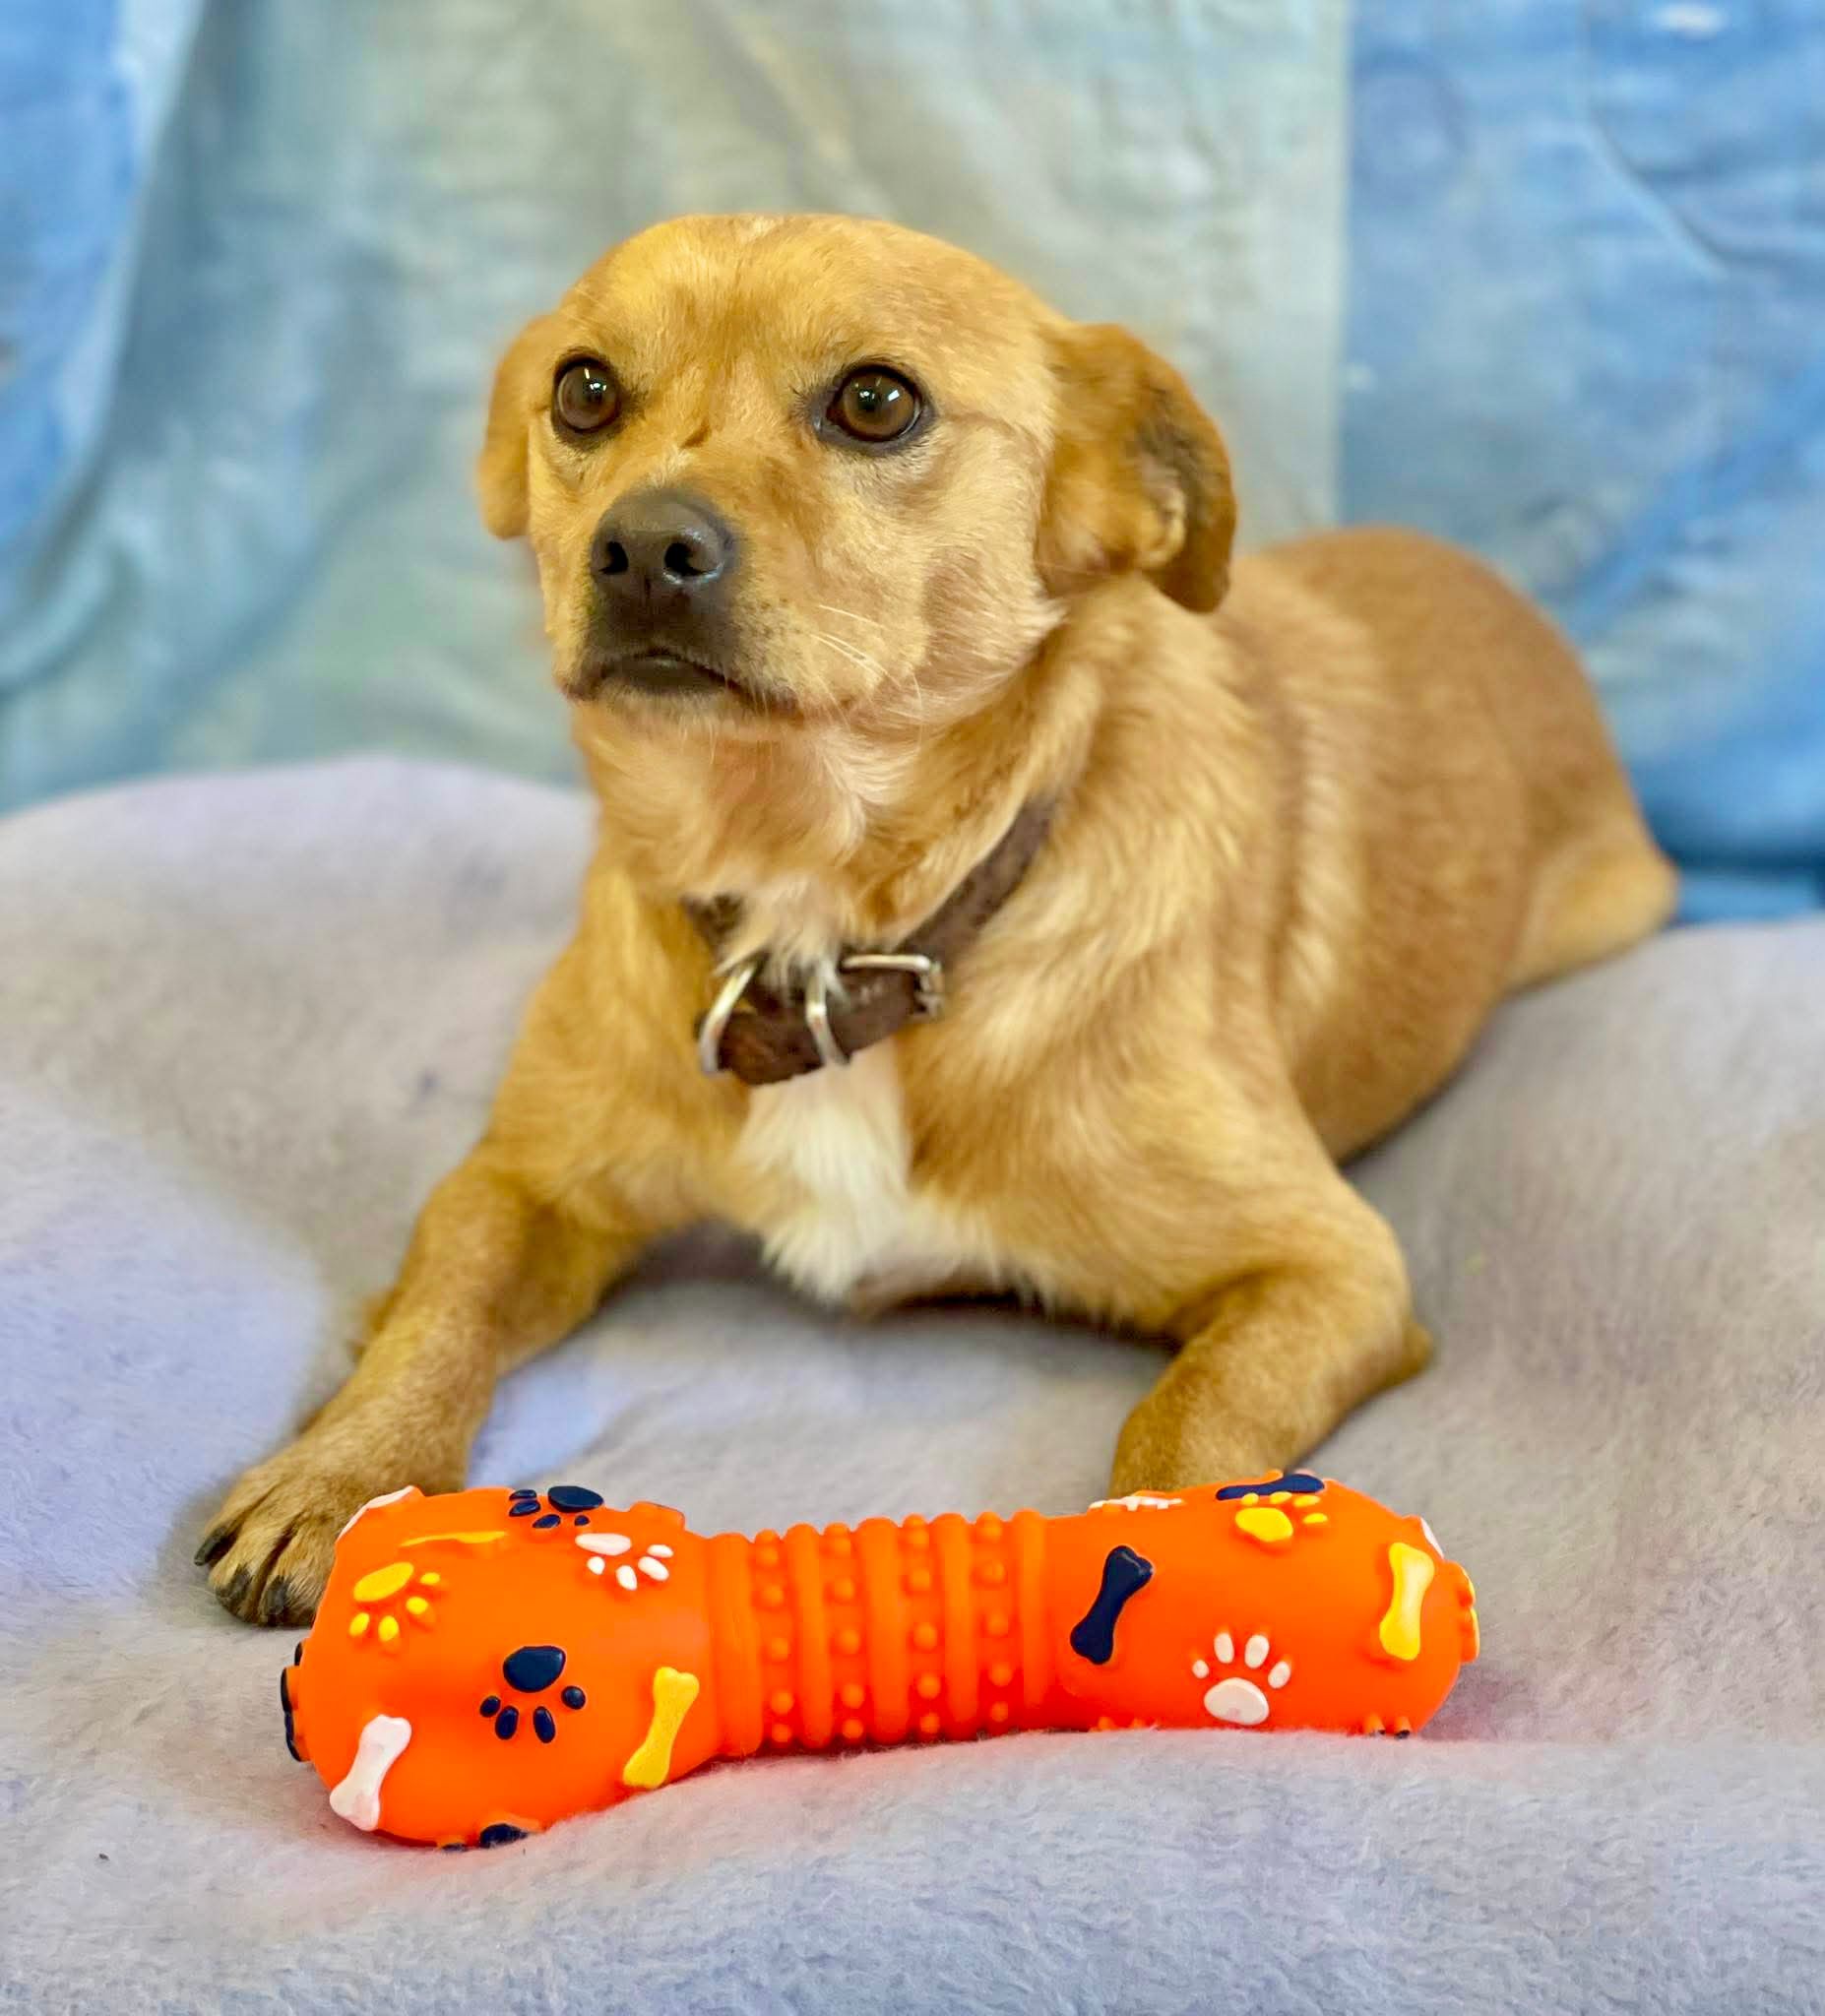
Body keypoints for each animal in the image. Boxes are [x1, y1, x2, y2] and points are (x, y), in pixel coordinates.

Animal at [199, 213, 1675, 1625]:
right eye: (582, 390)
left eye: (874, 401)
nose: (641, 547)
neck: (821, 915)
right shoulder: (515, 1180)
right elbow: (434, 1315)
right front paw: (339, 1471)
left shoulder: (1333, 1267)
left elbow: (1185, 1419)